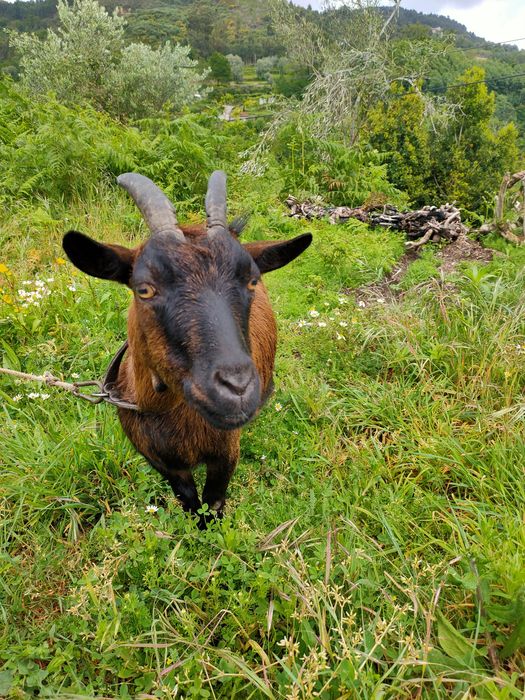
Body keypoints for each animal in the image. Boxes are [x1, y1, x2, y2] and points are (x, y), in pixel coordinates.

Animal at [63, 171, 312, 527]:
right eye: (144, 289)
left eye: (252, 281)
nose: (237, 388)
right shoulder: (161, 462)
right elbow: (190, 502)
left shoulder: (226, 453)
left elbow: (213, 505)